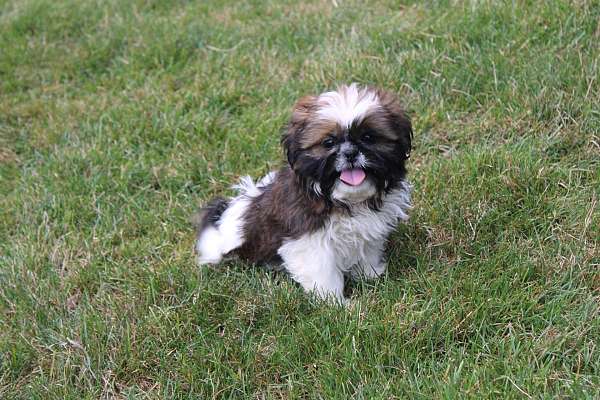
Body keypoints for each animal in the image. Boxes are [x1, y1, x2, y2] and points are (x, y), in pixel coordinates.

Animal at [195, 84, 410, 304]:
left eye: (368, 137)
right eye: (328, 142)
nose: (350, 153)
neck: (342, 200)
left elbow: (367, 249)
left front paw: (370, 274)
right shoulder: (309, 240)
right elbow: (323, 272)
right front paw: (335, 303)